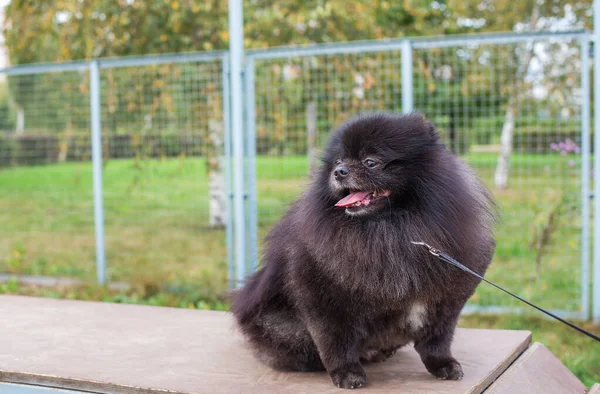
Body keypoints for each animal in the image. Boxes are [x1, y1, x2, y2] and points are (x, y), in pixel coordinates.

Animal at [232, 112, 494, 390]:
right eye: (338, 161)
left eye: (371, 162)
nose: (339, 171)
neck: (392, 232)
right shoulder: (323, 300)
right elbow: (336, 342)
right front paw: (347, 373)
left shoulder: (447, 300)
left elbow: (437, 340)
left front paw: (443, 364)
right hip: (281, 327)